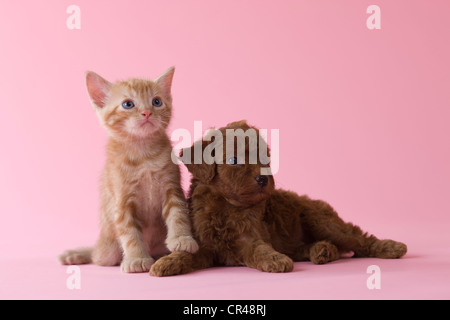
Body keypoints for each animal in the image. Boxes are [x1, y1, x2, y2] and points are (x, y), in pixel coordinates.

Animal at [57, 67, 197, 272]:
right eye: (128, 104)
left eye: (156, 101)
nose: (147, 112)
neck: (143, 154)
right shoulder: (121, 200)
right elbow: (129, 232)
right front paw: (136, 258)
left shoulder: (172, 187)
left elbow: (178, 214)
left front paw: (182, 239)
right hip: (107, 251)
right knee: (95, 256)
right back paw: (76, 255)